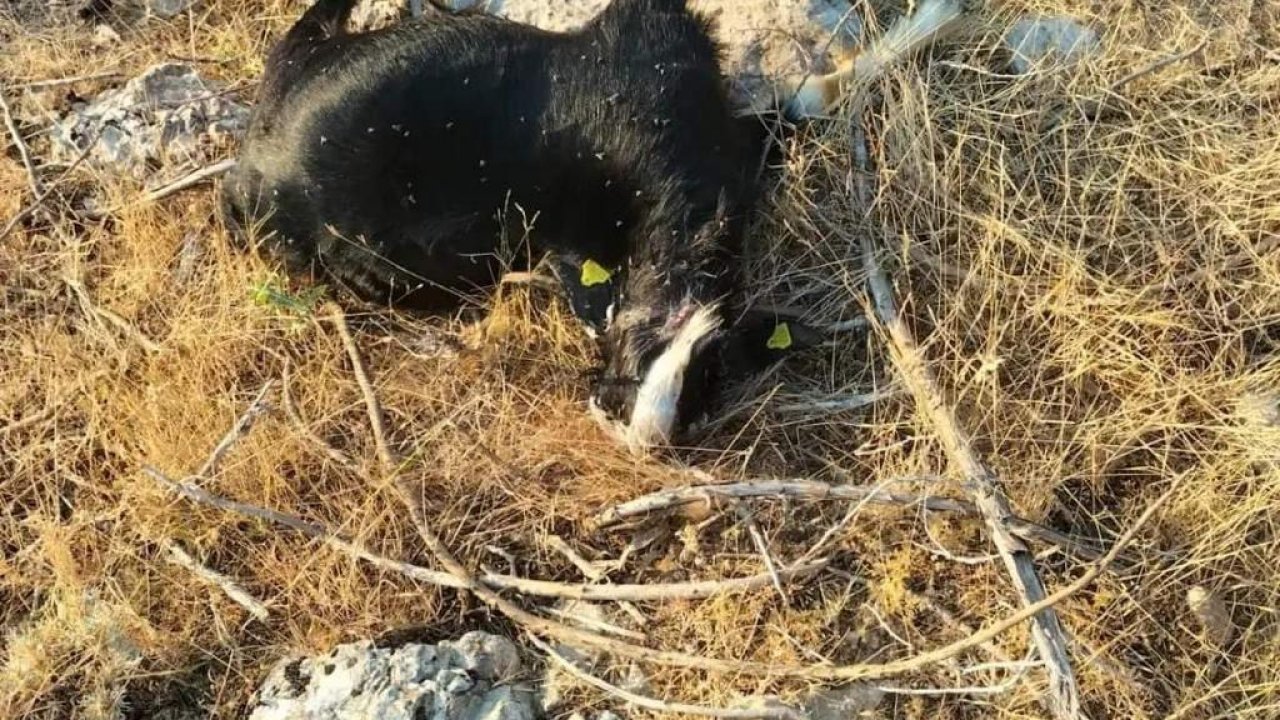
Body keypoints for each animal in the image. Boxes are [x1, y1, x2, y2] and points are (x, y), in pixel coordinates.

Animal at [225, 0, 972, 450]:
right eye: (631, 349)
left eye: (706, 382)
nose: (623, 418)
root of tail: (254, 169)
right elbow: (819, 91)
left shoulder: (740, 147)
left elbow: (816, 96)